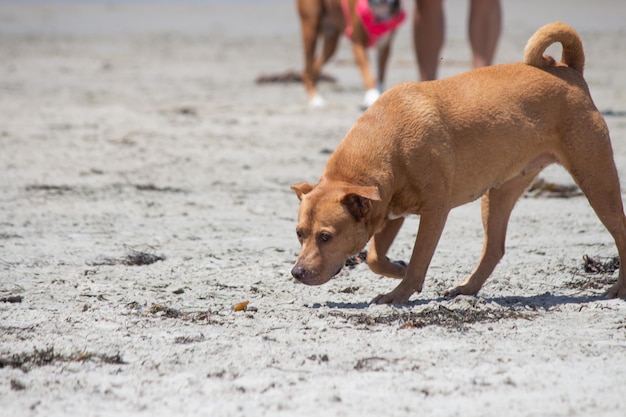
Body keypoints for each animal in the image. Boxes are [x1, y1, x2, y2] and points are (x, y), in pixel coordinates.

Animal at [290, 22, 624, 302]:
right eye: (299, 234)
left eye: (325, 236)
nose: (296, 273)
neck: (385, 144)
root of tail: (569, 70)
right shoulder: (388, 212)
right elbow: (374, 258)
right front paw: (397, 268)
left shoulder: (434, 212)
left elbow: (420, 258)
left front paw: (400, 293)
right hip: (499, 192)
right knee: (494, 248)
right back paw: (467, 288)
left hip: (596, 179)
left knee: (620, 229)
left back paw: (619, 288)